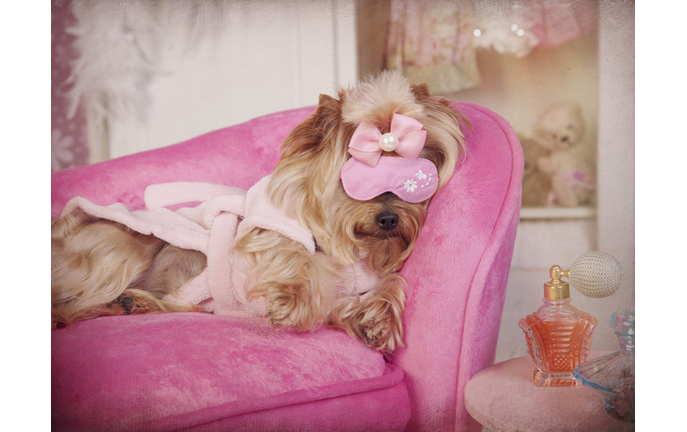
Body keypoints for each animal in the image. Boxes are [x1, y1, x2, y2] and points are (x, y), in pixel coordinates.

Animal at [52, 71, 468, 352]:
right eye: (354, 180)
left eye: (413, 181)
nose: (389, 219)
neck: (352, 247)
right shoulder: (263, 227)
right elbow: (295, 254)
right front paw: (290, 300)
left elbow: (384, 284)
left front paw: (377, 319)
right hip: (123, 246)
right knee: (74, 299)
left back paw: (133, 303)